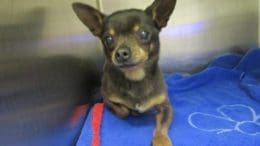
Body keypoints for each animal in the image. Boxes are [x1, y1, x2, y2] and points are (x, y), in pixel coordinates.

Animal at [73, 0, 178, 145]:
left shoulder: (166, 107)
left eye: (143, 33)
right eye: (108, 39)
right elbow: (123, 111)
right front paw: (132, 110)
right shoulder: (107, 98)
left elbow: (162, 127)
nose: (121, 53)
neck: (135, 78)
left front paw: (161, 141)